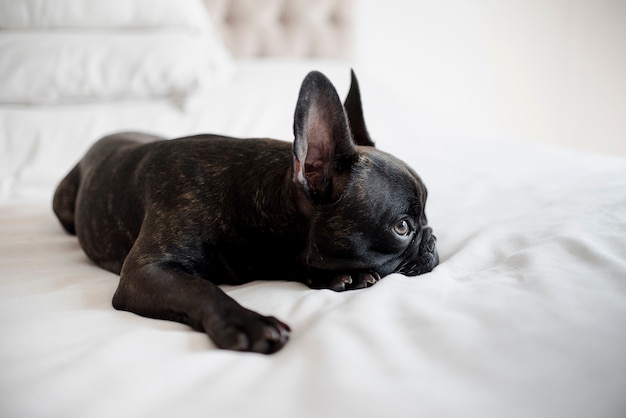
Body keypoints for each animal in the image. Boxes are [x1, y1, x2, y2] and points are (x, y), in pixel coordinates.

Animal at [53, 71, 436, 352]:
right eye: (402, 227)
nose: (432, 239)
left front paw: (341, 275)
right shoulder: (145, 271)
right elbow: (200, 289)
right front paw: (249, 322)